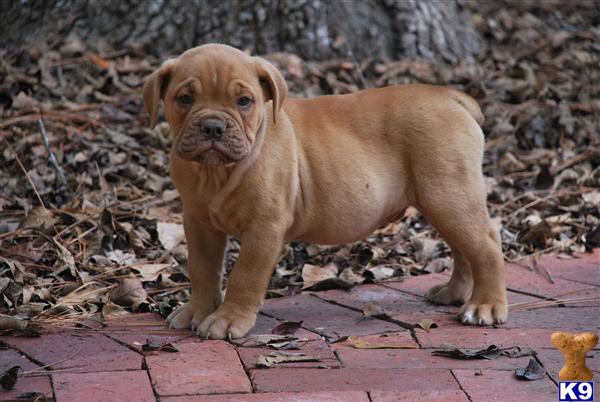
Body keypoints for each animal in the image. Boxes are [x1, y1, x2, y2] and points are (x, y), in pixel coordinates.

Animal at [144, 44, 506, 340]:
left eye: (244, 102)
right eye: (184, 99)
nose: (213, 126)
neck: (216, 173)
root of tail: (451, 97)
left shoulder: (263, 229)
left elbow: (244, 276)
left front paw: (228, 319)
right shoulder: (199, 223)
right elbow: (202, 269)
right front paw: (198, 310)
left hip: (449, 195)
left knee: (486, 244)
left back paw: (485, 306)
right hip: (445, 201)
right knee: (463, 248)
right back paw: (455, 292)